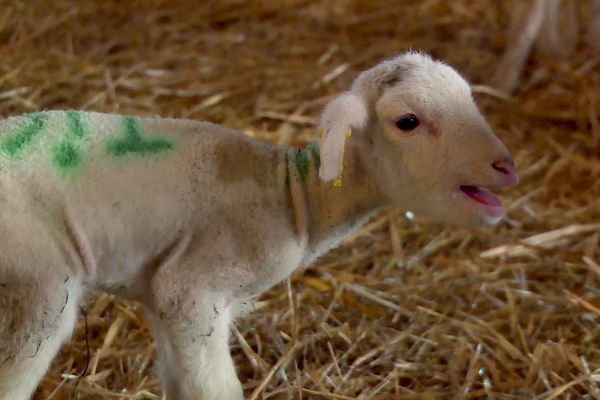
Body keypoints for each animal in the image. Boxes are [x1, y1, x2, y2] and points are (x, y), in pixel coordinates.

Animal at [0, 51, 516, 398]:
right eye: (407, 121)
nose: (506, 166)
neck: (292, 199)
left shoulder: (160, 300)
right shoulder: (191, 291)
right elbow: (218, 389)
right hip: (40, 283)